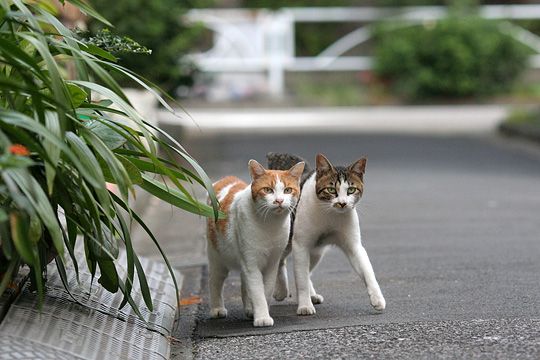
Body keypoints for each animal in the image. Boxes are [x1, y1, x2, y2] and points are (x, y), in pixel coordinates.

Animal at [206, 159, 304, 328]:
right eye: (268, 190)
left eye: (287, 190)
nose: (279, 201)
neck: (270, 225)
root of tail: (226, 179)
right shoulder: (251, 263)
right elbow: (257, 292)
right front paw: (262, 317)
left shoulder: (272, 263)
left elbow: (266, 290)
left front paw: (258, 311)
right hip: (218, 258)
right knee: (215, 281)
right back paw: (217, 308)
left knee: (244, 284)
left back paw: (249, 309)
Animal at [266, 152, 384, 316]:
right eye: (331, 190)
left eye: (351, 190)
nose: (342, 203)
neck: (331, 214)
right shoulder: (301, 245)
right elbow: (301, 280)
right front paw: (305, 305)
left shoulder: (354, 246)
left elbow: (368, 271)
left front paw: (377, 298)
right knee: (282, 260)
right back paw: (281, 291)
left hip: (316, 252)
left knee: (306, 270)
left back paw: (312, 294)